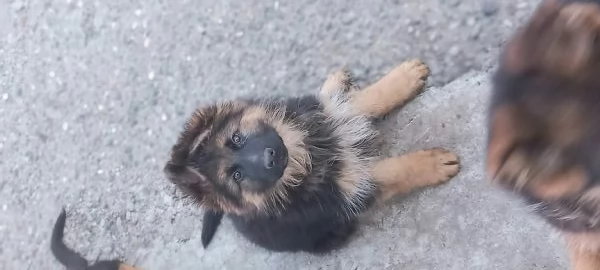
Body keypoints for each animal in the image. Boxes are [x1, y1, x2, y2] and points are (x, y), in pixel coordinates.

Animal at [162, 58, 462, 254]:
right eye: (237, 175)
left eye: (237, 139)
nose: (270, 157)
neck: (305, 152)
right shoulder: (351, 190)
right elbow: (395, 171)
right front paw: (433, 164)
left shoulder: (322, 117)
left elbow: (362, 102)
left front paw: (403, 79)